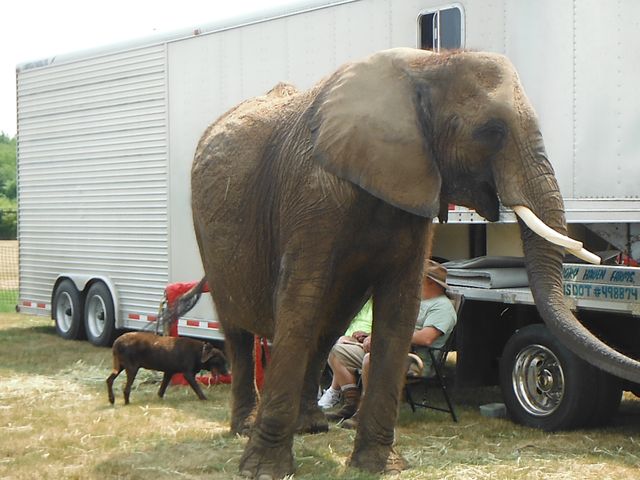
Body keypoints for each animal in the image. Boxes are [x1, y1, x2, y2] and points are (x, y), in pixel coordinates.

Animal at [190, 48, 640, 478]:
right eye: (491, 132)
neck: (426, 65)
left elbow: (399, 310)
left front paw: (379, 467)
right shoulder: (312, 192)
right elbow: (300, 303)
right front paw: (265, 472)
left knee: (329, 325)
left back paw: (312, 427)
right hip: (209, 232)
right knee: (240, 328)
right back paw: (245, 427)